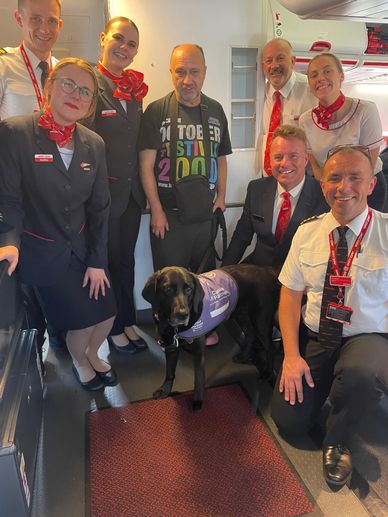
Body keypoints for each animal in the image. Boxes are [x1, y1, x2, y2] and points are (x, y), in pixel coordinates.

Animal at [142, 264, 278, 410]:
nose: (183, 314)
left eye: (189, 289)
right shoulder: (171, 347)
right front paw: (165, 390)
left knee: (271, 348)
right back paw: (243, 356)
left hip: (261, 322)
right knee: (250, 335)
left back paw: (267, 373)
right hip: (241, 316)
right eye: (167, 289)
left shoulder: (198, 352)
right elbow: (169, 372)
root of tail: (267, 271)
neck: (174, 327)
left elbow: (198, 378)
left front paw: (198, 400)